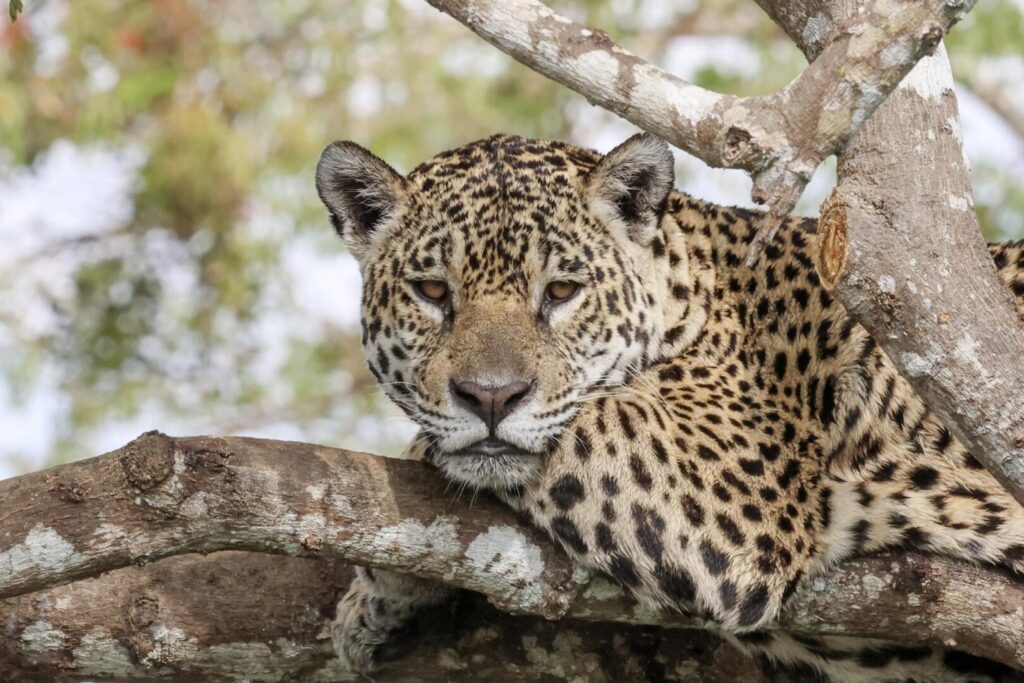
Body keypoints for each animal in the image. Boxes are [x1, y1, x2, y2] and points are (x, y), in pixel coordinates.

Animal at [314, 133, 1024, 682]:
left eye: (562, 291)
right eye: (433, 292)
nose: (491, 396)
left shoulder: (734, 495)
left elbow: (569, 422)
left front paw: (374, 580)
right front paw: (376, 608)